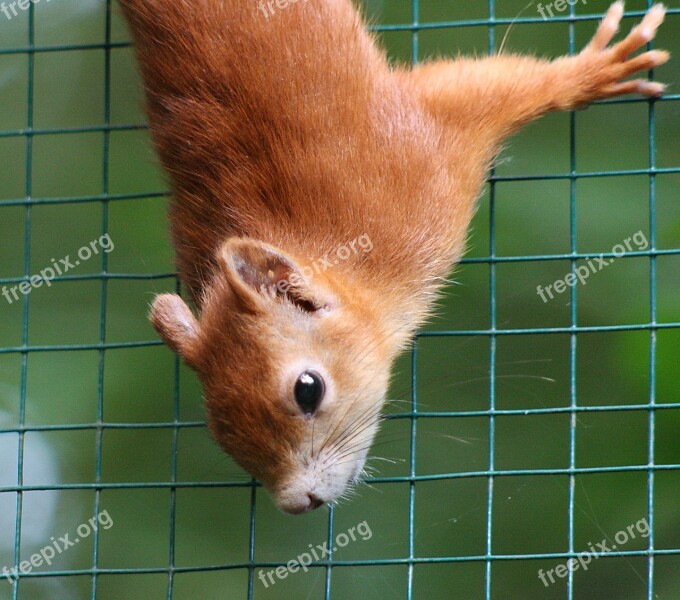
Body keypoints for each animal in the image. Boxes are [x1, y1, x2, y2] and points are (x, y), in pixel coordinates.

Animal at [118, 1, 668, 516]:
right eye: (219, 427)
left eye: (307, 389)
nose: (298, 502)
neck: (356, 261)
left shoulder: (416, 156)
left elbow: (487, 85)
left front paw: (587, 72)